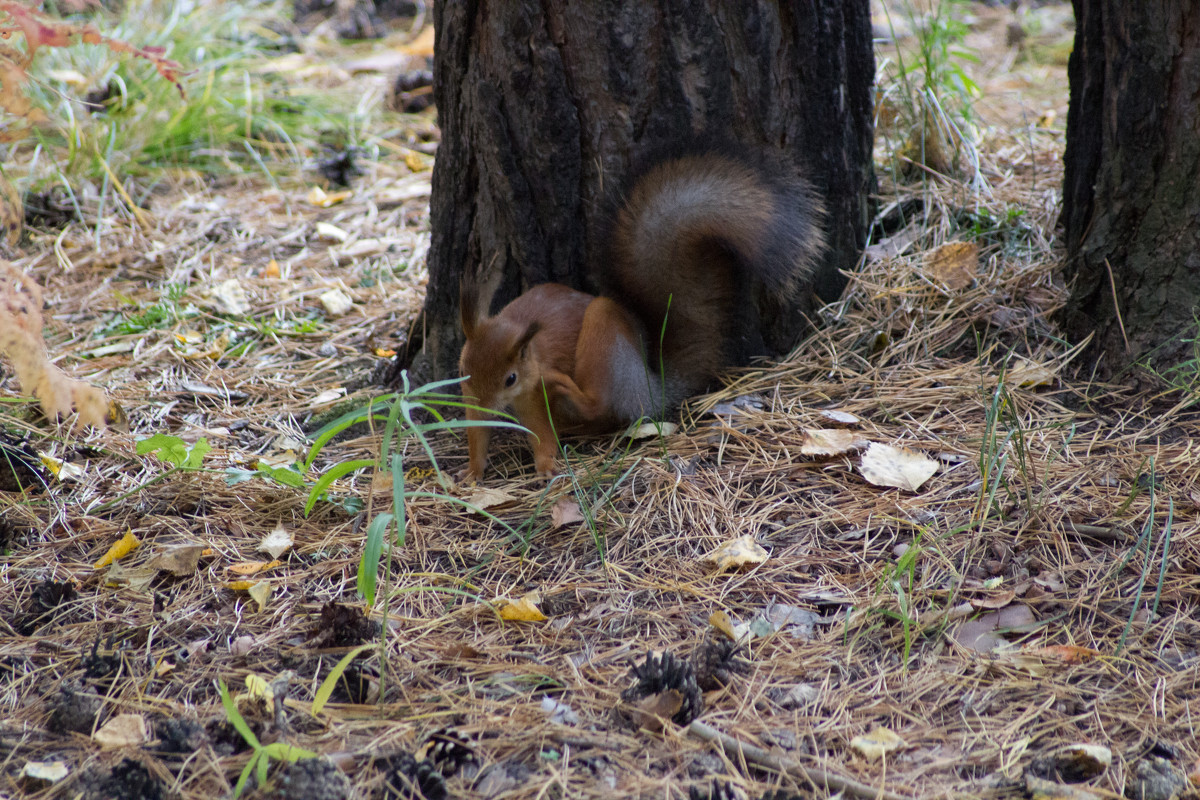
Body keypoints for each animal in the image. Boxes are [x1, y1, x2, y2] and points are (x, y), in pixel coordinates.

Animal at [458, 153, 825, 482]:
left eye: (511, 379)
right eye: (464, 369)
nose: (488, 405)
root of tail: (651, 386)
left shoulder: (532, 392)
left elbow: (541, 431)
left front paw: (547, 466)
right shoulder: (470, 397)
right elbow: (476, 433)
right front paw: (472, 472)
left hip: (606, 336)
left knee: (601, 404)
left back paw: (562, 384)